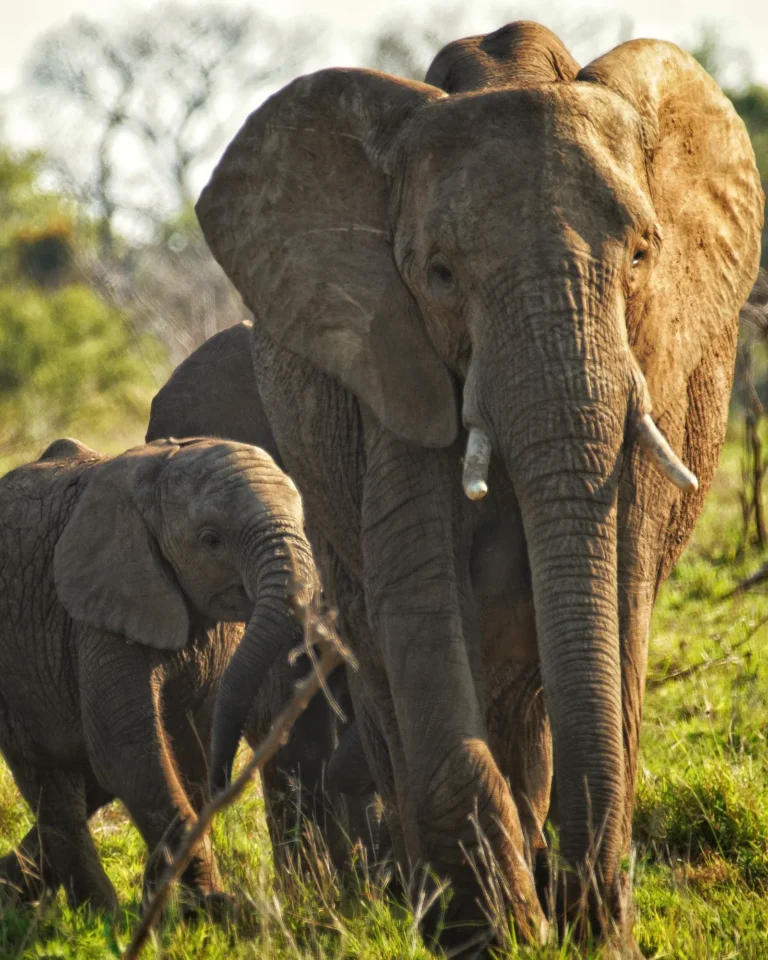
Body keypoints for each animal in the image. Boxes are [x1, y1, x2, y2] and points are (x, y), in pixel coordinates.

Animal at [0, 435, 316, 913]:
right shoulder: (99, 615)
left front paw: (173, 902)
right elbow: (129, 753)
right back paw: (102, 914)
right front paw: (212, 907)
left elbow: (188, 749)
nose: (228, 781)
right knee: (49, 780)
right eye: (211, 540)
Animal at [194, 20, 764, 950]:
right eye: (440, 275)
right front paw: (497, 931)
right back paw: (434, 891)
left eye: (642, 254)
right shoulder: (384, 353)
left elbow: (620, 588)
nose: (582, 908)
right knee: (383, 649)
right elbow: (420, 589)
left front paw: (585, 928)